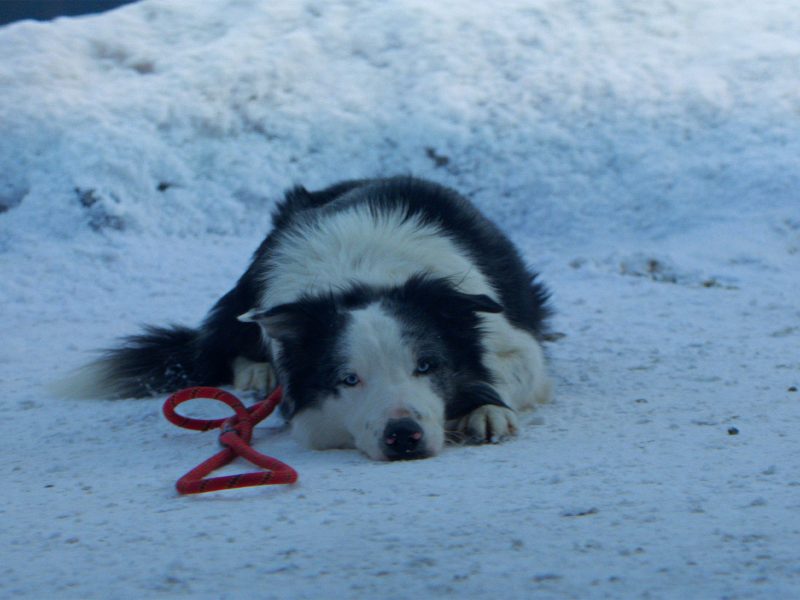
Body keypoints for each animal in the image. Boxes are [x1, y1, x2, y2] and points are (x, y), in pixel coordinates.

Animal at [69, 177, 552, 460]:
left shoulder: (513, 339)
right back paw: (259, 372)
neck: (363, 278)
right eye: (349, 379)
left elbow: (506, 369)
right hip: (249, 288)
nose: (403, 436)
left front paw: (486, 410)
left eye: (426, 365)